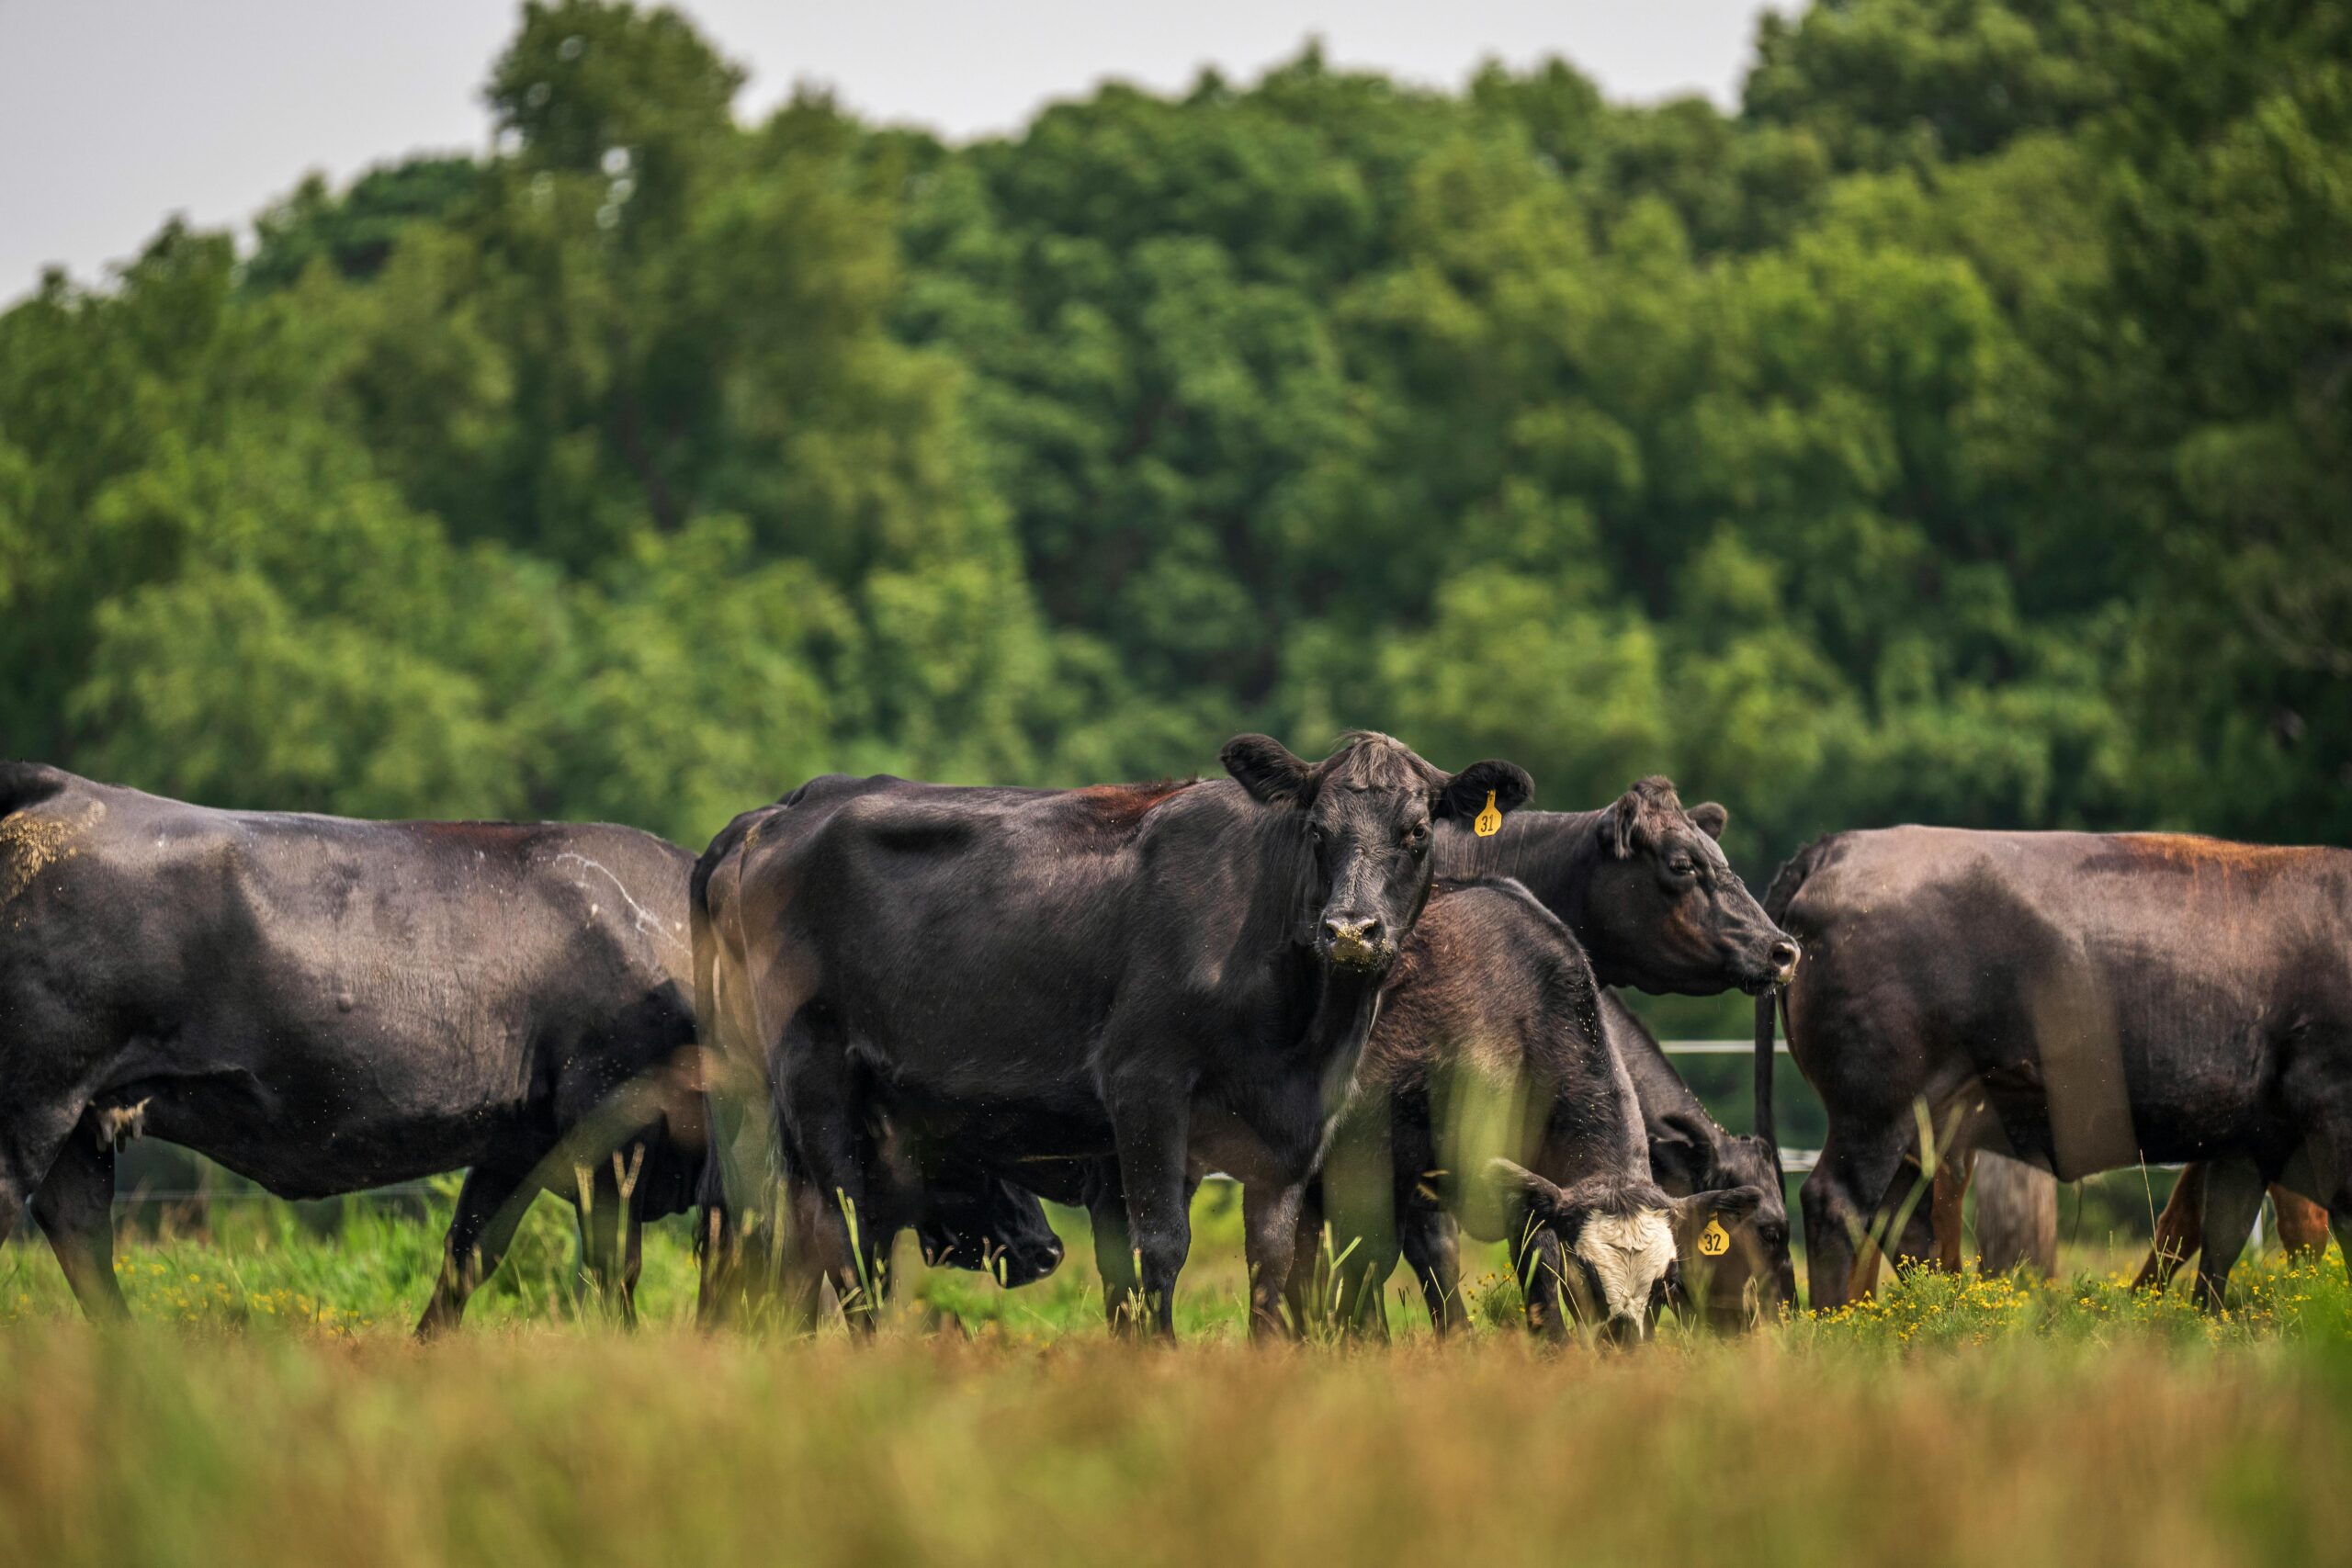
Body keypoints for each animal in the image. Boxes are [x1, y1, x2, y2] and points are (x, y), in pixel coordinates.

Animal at [0, 762, 1058, 1334]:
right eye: (970, 1139)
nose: (1047, 1246)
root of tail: (61, 789)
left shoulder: (516, 1141)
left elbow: (467, 1258)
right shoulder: (611, 1136)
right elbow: (612, 1270)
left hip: (80, 1127)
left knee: (81, 1237)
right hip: (33, 1102)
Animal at [688, 732, 1531, 1338]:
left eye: (1416, 831)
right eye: (1317, 830)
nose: (1351, 929)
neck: (1300, 1029)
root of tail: (775, 814)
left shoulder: (1295, 1123)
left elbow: (1273, 1255)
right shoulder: (1144, 1085)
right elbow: (1156, 1246)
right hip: (811, 1078)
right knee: (840, 1234)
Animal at [1298, 879, 1765, 1342]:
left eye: (1665, 1283)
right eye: (1589, 1275)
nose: (1627, 1347)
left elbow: (1535, 1268)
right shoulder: (1373, 1156)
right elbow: (1368, 1261)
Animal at [1759, 827, 2352, 1312]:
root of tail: (1837, 847)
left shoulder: (2243, 1142)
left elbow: (2217, 1239)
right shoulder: (2324, 1110)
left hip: (1924, 1127)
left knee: (1901, 1222)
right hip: (1878, 1111)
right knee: (1837, 1203)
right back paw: (1842, 1326)